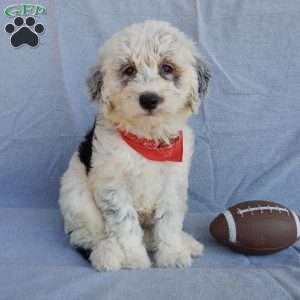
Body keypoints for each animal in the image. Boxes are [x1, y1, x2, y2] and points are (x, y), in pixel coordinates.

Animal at [57, 19, 210, 270]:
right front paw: (133, 259)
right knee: (88, 236)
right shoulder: (113, 184)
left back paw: (186, 242)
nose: (149, 99)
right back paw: (107, 255)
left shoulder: (173, 182)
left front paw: (172, 254)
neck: (148, 139)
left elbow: (168, 222)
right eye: (129, 70)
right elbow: (124, 223)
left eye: (167, 68)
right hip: (76, 199)